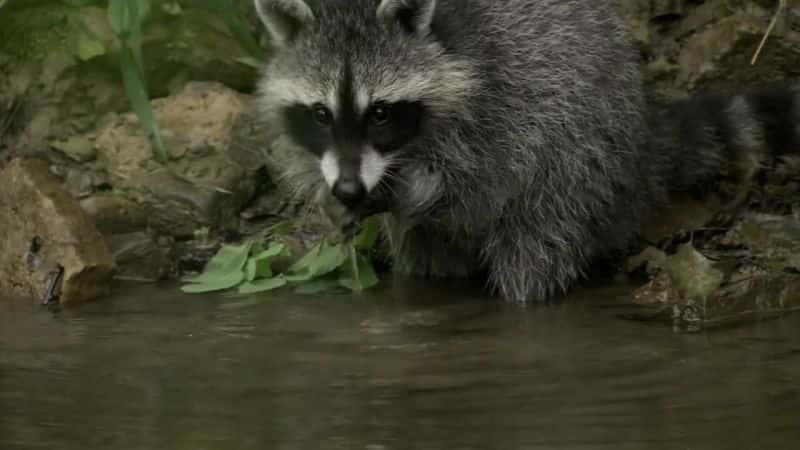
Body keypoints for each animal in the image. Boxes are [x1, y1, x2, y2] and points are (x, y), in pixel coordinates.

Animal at [252, 0, 800, 302]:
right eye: (320, 114)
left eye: (381, 113)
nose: (349, 187)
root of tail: (643, 143)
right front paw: (331, 200)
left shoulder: (500, 101)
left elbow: (471, 180)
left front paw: (402, 189)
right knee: (426, 251)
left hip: (587, 153)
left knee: (539, 243)